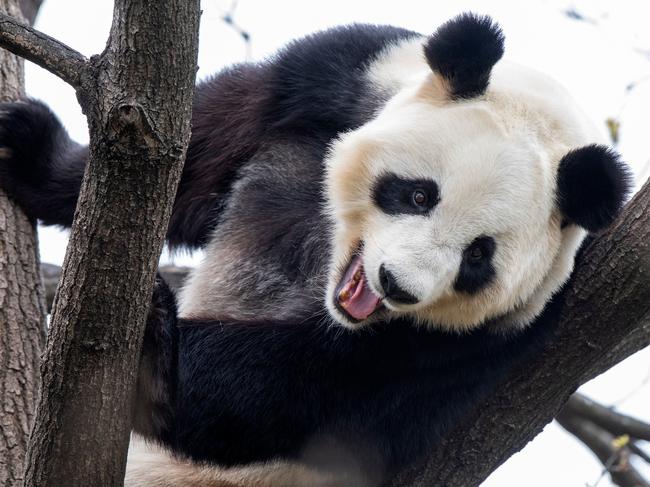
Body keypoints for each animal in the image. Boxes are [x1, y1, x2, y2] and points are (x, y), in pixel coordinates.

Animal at [0, 11, 628, 487]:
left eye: (479, 256)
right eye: (418, 194)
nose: (397, 286)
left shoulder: (495, 340)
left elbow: (291, 395)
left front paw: (158, 344)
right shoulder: (337, 79)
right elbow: (192, 149)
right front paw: (31, 154)